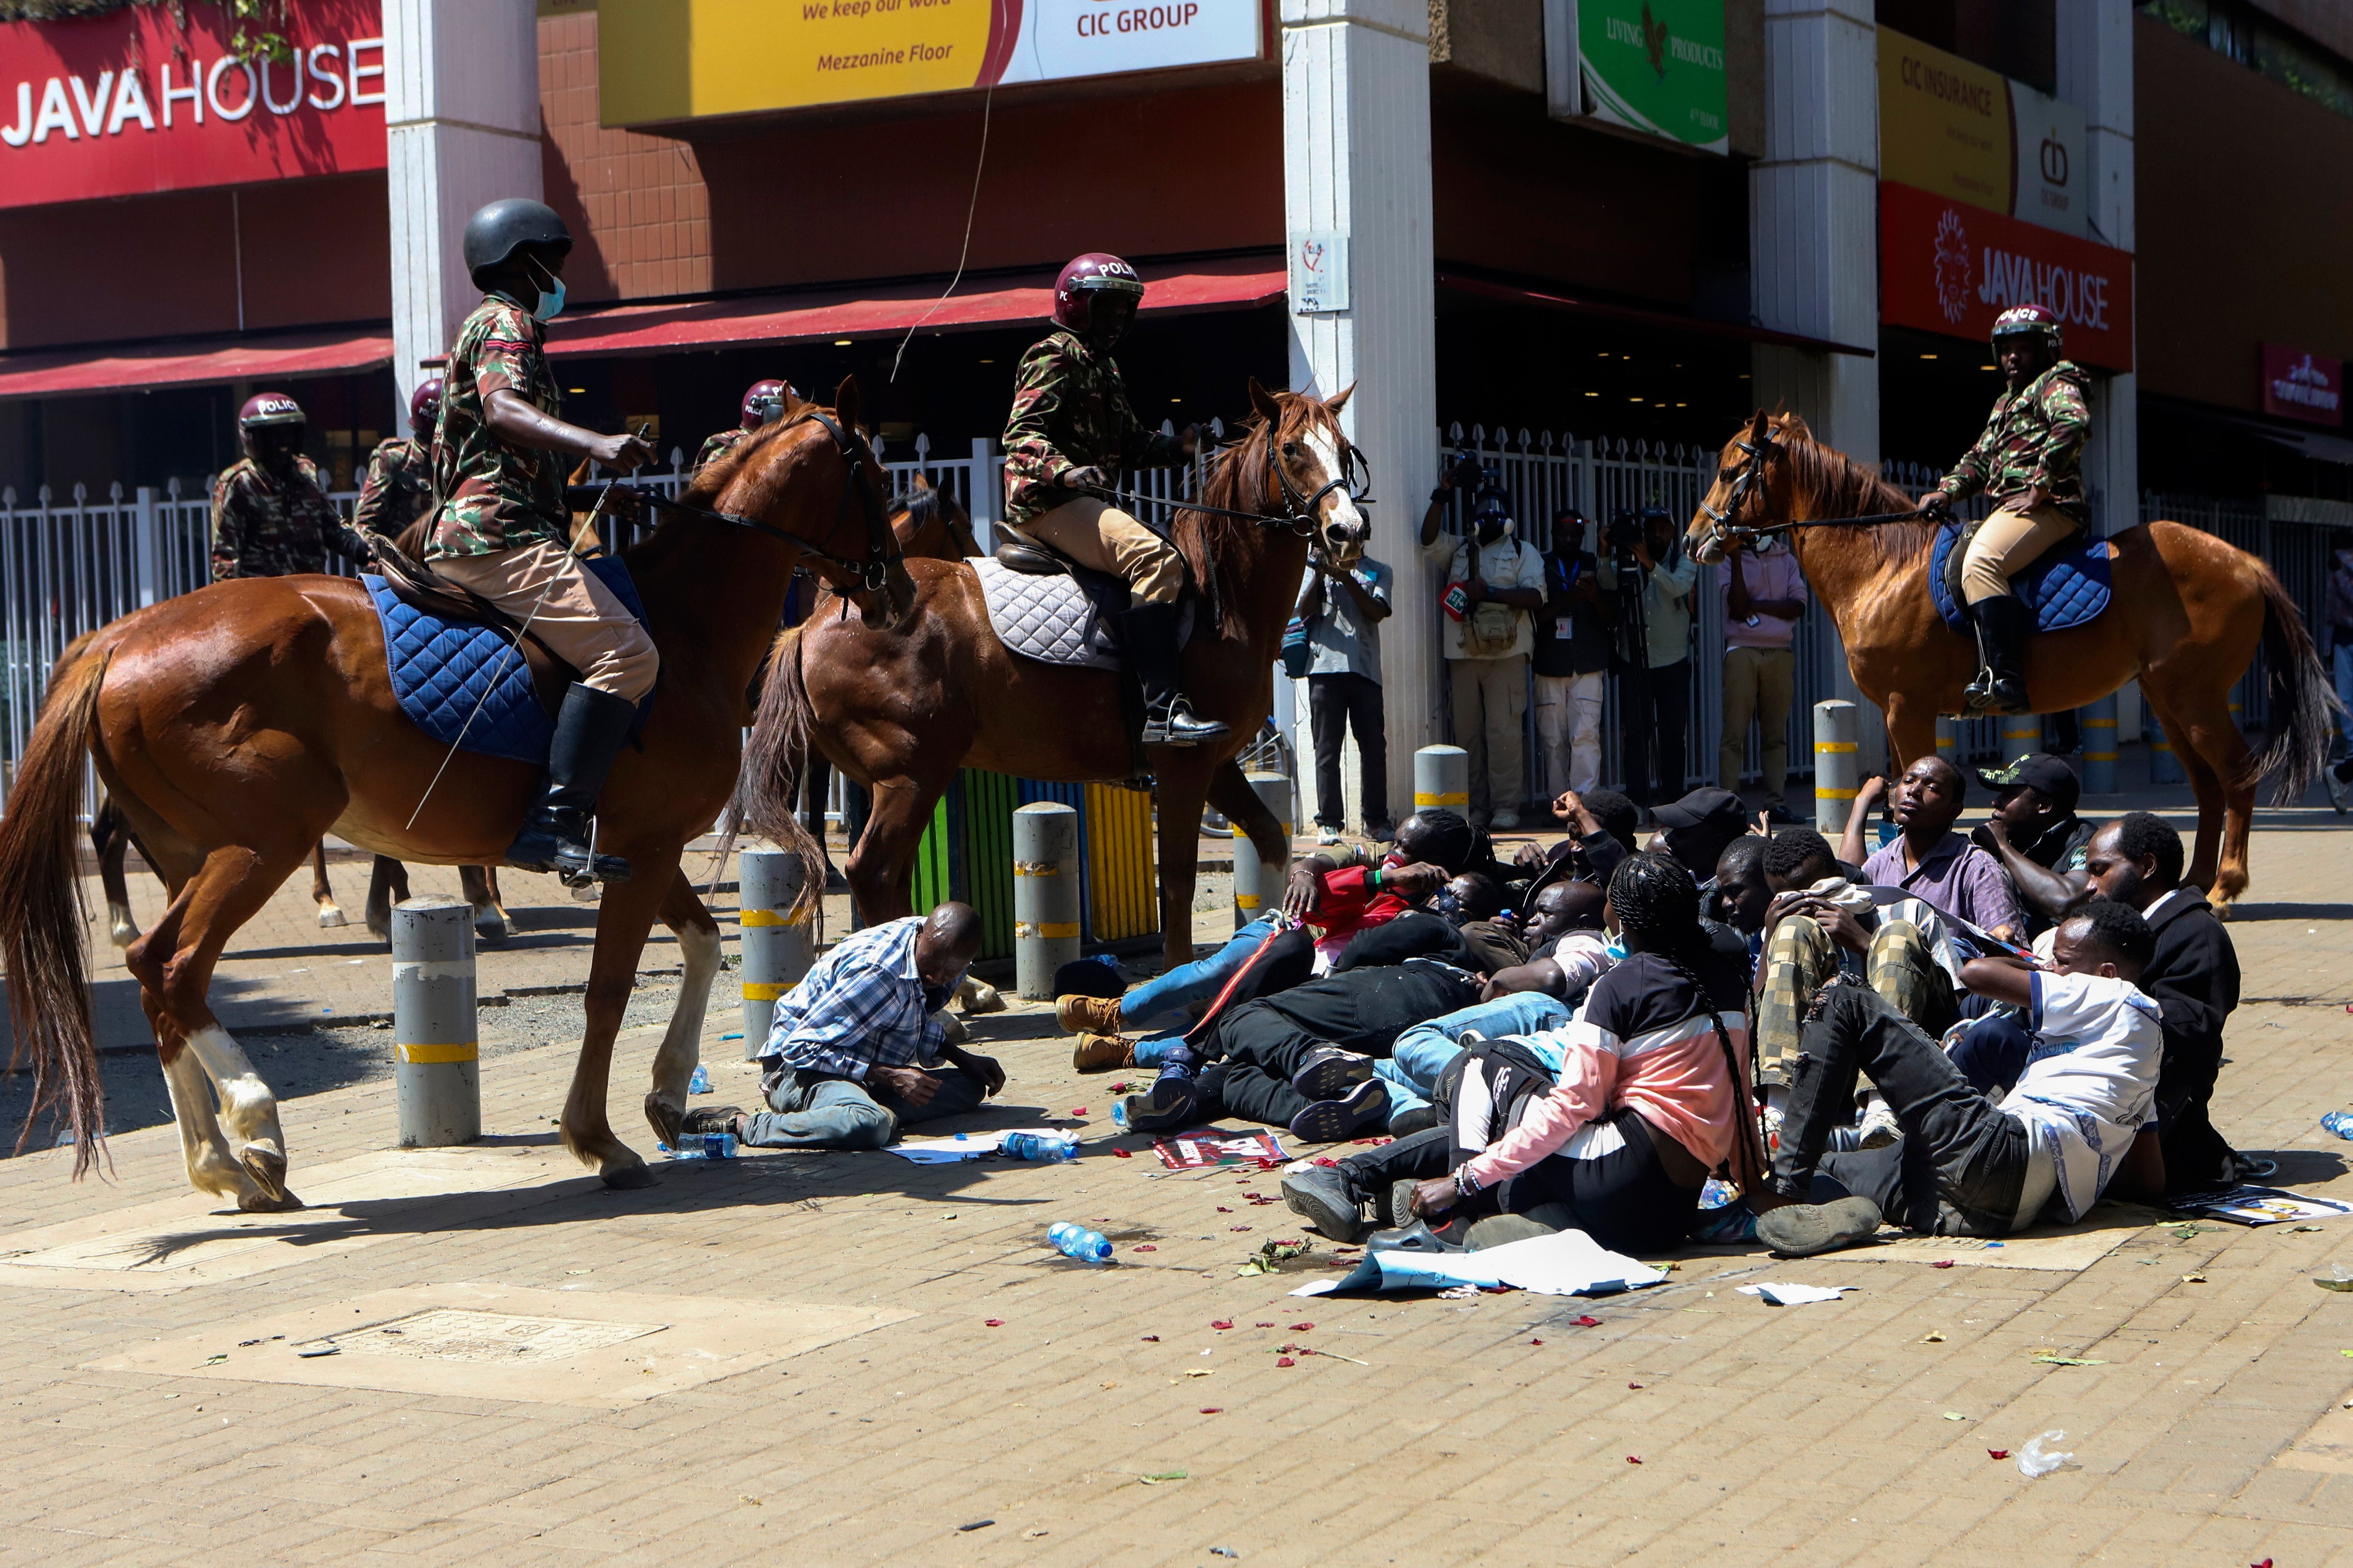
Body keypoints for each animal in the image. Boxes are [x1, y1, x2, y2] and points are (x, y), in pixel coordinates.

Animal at [0, 383, 908, 1203]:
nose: (894, 589)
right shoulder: (643, 851)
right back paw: (256, 1127)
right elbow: (609, 991)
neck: (681, 625)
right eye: (870, 469)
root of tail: (119, 635)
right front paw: (598, 1138)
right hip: (263, 844)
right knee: (175, 967)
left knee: (155, 979)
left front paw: (665, 1093)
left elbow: (702, 945)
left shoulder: (639, 850)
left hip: (194, 853)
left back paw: (221, 1162)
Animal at [744, 381, 1374, 968]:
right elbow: (1176, 881)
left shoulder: (1217, 765)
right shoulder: (1184, 765)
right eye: (1291, 449)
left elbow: (1269, 840)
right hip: (911, 774)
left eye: (1344, 450)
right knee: (873, 872)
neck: (1217, 600)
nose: (1347, 531)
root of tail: (809, 627)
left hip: (900, 780)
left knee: (891, 876)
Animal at [1694, 411, 2334, 912]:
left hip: (2194, 697)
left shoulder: (1907, 707)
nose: (1694, 538)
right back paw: (2196, 880)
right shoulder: (1896, 710)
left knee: (2235, 774)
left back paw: (2225, 886)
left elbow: (1912, 782)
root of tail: (2246, 562)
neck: (1884, 565)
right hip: (2169, 700)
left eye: (1729, 472)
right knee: (2206, 785)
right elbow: (1899, 786)